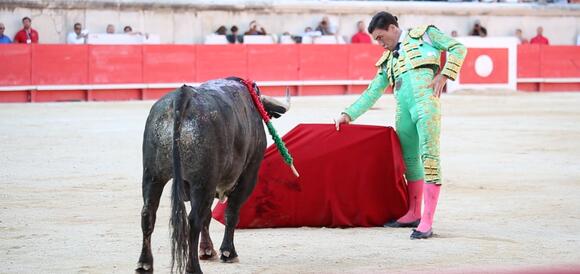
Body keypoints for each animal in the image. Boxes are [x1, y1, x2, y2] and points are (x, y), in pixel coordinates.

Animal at [137, 78, 290, 272]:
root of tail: (182, 97)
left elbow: (208, 216)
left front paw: (207, 250)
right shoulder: (247, 176)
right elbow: (231, 213)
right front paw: (228, 253)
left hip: (152, 175)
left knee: (148, 214)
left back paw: (145, 263)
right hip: (203, 182)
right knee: (193, 219)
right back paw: (193, 267)